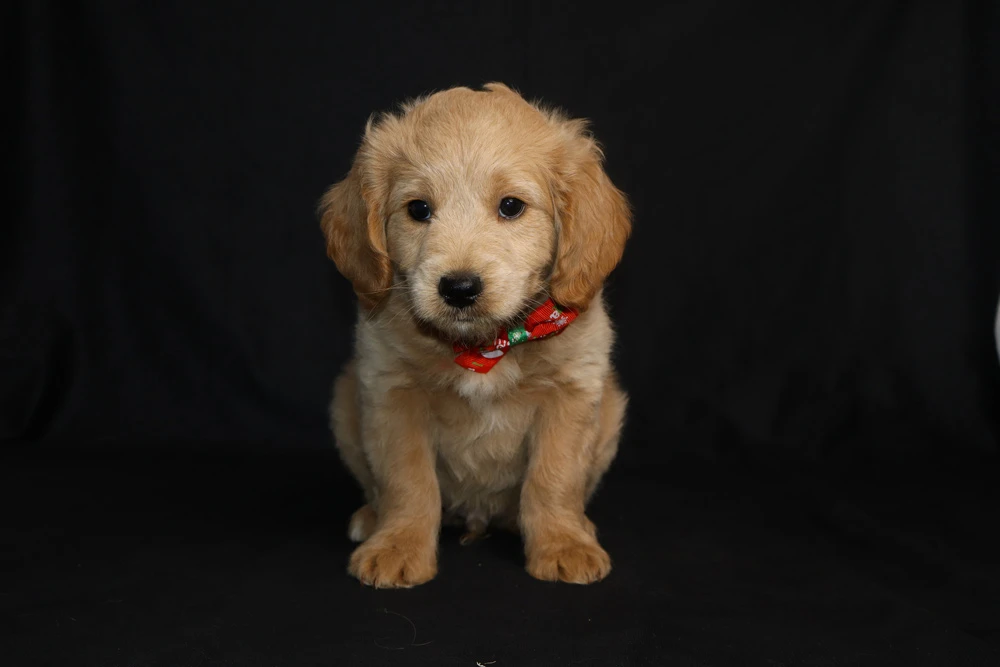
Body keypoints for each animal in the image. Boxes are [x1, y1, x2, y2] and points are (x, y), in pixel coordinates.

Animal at [319, 83, 631, 587]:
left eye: (511, 206)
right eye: (418, 209)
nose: (459, 288)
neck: (487, 345)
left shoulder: (571, 396)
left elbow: (554, 479)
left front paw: (562, 543)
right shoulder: (391, 394)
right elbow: (408, 482)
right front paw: (398, 545)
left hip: (610, 411)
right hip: (345, 402)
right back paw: (372, 517)